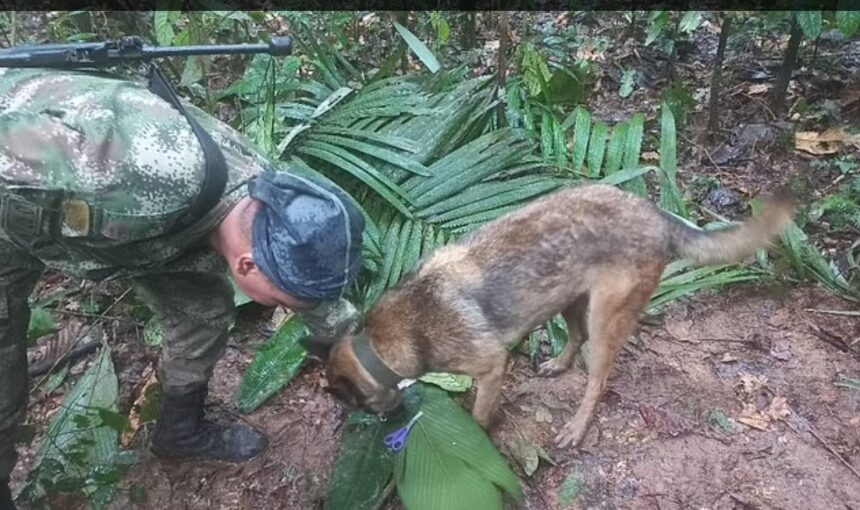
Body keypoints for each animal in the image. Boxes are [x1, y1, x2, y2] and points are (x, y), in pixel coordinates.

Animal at [304, 183, 796, 448]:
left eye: (352, 403)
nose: (381, 424)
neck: (382, 343)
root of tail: (655, 213)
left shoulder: (491, 366)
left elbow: (479, 413)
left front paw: (477, 435)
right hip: (569, 300)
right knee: (574, 338)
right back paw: (558, 365)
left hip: (604, 319)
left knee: (597, 379)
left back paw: (576, 427)